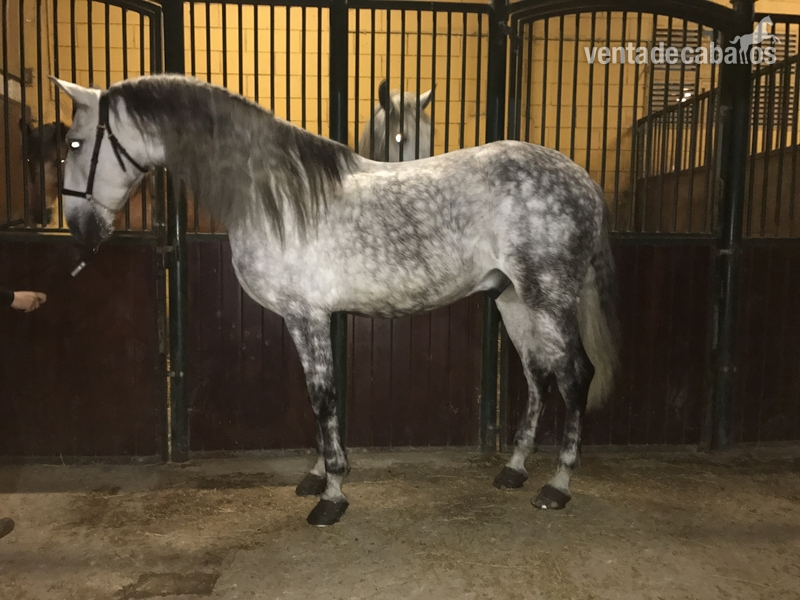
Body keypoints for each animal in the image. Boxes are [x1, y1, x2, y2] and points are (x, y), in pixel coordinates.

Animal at [52, 74, 619, 526]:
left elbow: (321, 396)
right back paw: (514, 470)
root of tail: (583, 180)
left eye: (76, 144)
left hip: (548, 297)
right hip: (514, 301)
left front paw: (332, 495)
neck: (278, 196)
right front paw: (318, 473)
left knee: (575, 376)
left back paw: (557, 485)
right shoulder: (321, 316)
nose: (80, 230)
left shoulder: (307, 315)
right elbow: (325, 397)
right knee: (539, 378)